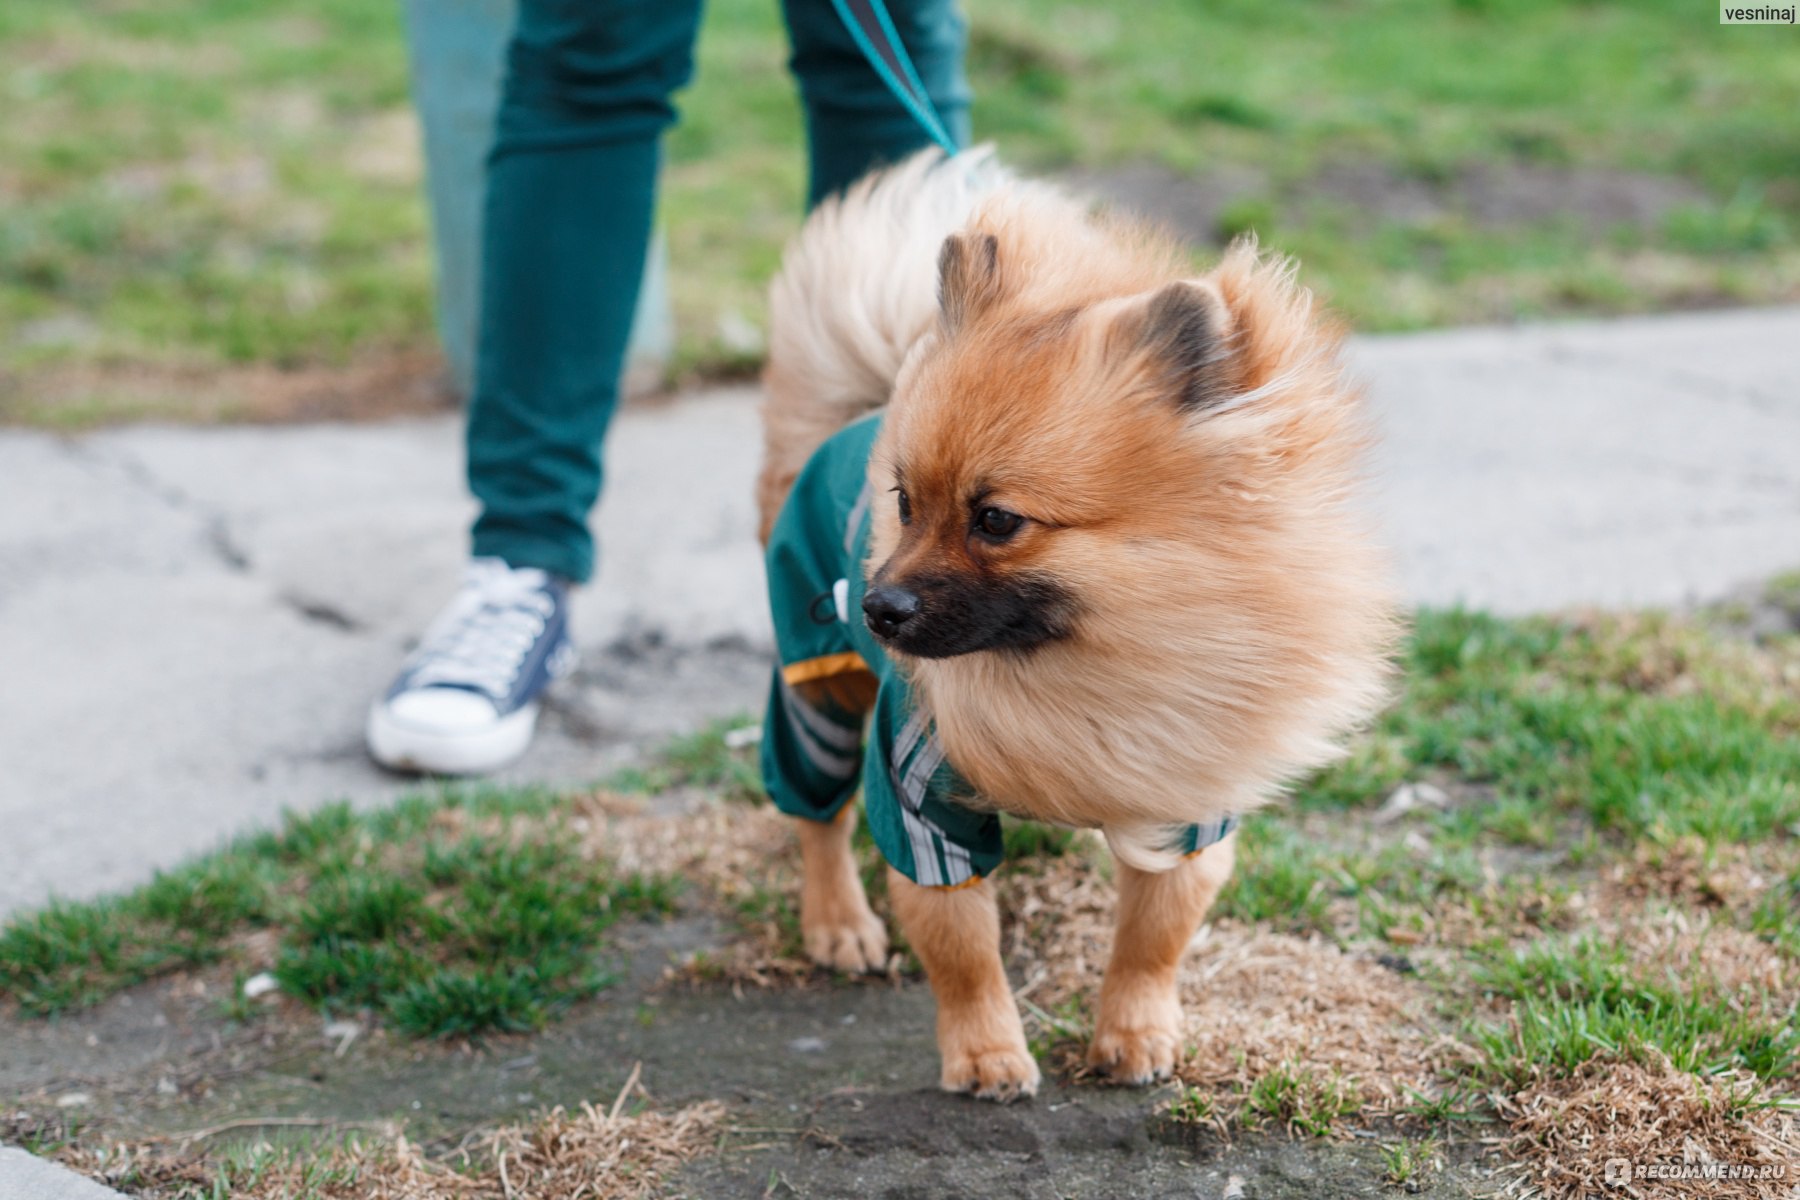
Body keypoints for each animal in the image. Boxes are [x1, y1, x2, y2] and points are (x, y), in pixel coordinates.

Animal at [752, 152, 1396, 1108]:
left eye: (996, 520)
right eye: (904, 504)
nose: (877, 607)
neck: (1076, 670)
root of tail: (859, 404)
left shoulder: (1187, 789)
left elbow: (1156, 932)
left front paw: (1134, 1032)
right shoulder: (918, 795)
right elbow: (959, 940)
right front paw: (985, 1053)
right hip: (819, 690)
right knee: (814, 814)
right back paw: (837, 921)